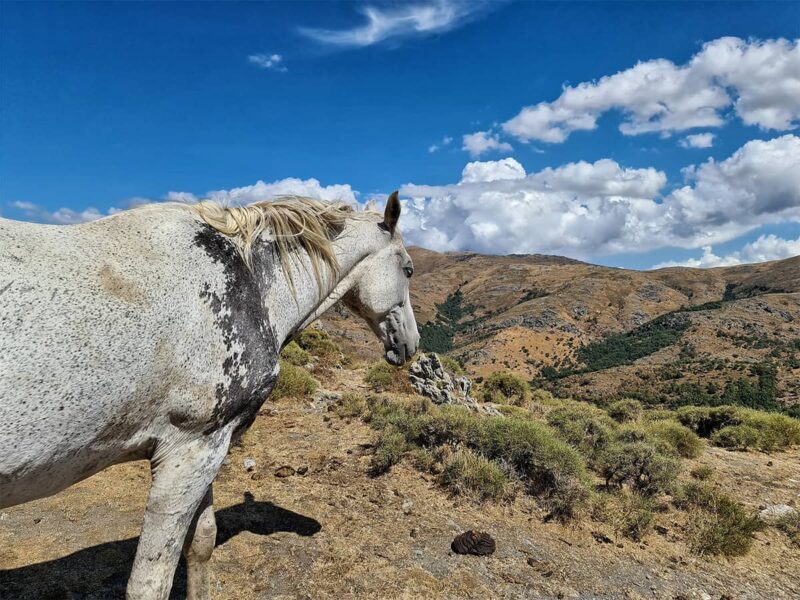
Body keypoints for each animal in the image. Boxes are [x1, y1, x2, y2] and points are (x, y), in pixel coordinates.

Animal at [0, 195, 422, 596]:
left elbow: (202, 543)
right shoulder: (188, 451)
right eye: (408, 270)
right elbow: (151, 581)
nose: (411, 345)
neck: (247, 284)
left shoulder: (208, 446)